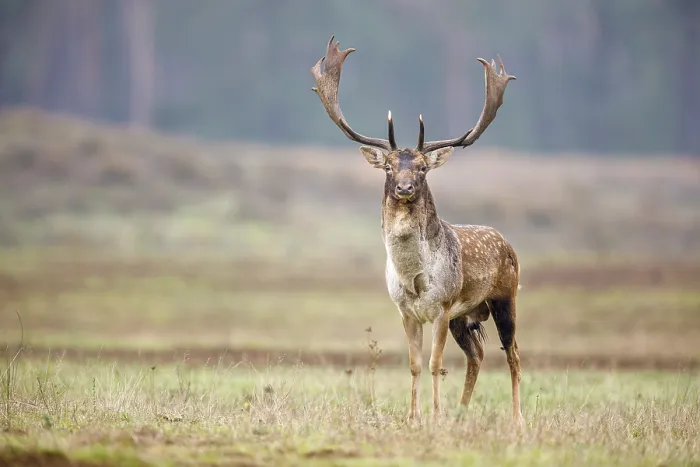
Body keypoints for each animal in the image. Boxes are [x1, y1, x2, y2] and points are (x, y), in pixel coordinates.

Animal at [310, 36, 522, 425]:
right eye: (389, 166)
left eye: (423, 167)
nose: (405, 187)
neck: (413, 277)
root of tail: (508, 244)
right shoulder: (407, 312)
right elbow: (414, 365)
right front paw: (414, 416)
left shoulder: (441, 306)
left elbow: (436, 364)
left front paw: (434, 417)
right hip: (465, 317)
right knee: (477, 355)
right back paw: (461, 413)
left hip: (504, 297)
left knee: (512, 354)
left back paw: (517, 419)